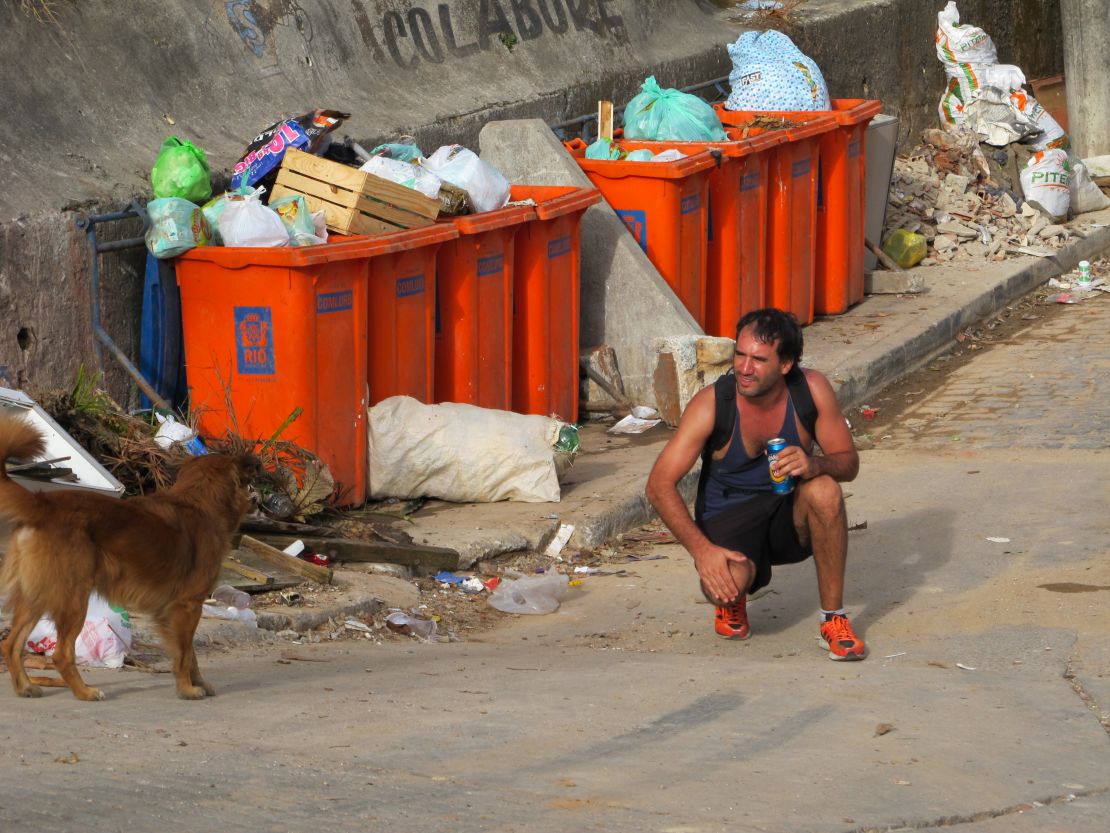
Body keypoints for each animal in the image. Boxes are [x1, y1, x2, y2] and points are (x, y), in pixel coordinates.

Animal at [0, 415, 255, 701]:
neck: (201, 501)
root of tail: (42, 504)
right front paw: (187, 688)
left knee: (11, 644)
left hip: (38, 594)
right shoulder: (188, 605)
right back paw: (84, 691)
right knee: (61, 654)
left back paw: (25, 686)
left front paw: (197, 682)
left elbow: (190, 654)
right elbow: (184, 654)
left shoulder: (179, 610)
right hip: (74, 598)